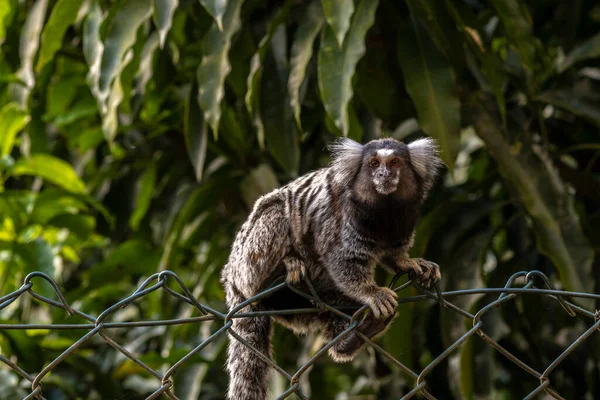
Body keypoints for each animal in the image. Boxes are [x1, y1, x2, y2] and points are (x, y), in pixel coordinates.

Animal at [223, 136, 442, 398]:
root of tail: (231, 279)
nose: (384, 174)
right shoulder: (340, 219)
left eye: (395, 163)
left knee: (335, 304)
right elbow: (341, 259)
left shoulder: (404, 218)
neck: (383, 210)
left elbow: (394, 254)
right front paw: (372, 292)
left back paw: (355, 336)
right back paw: (282, 269)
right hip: (248, 262)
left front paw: (409, 262)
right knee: (274, 212)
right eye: (374, 163)